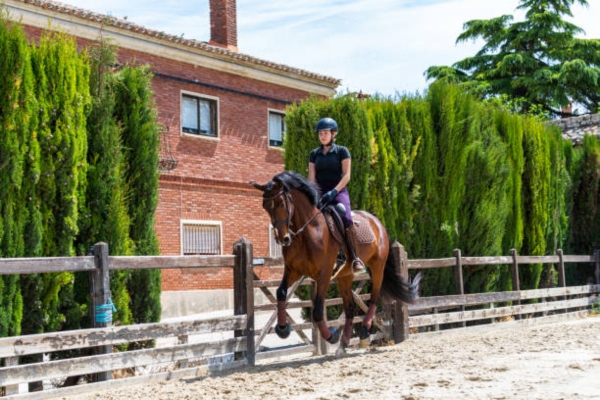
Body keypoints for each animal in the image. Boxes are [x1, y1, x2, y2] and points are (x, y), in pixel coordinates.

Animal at [250, 171, 422, 350]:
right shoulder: (293, 271)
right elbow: (281, 292)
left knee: (374, 298)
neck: (308, 232)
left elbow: (318, 311)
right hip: (345, 275)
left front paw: (331, 336)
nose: (283, 239)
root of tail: (377, 223)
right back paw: (345, 341)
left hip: (377, 267)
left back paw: (363, 332)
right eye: (265, 206)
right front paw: (283, 328)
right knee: (350, 307)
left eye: (281, 204)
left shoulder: (324, 275)